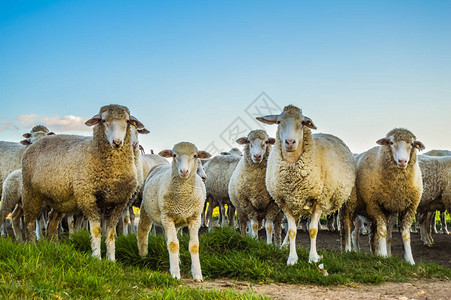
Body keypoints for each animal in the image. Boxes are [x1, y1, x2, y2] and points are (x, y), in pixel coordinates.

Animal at [22, 103, 144, 260]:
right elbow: (96, 230)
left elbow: (110, 233)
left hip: (60, 199)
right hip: (30, 192)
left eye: (127, 121)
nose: (117, 142)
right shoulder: (87, 197)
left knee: (52, 221)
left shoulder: (119, 202)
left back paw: (54, 246)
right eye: (103, 120)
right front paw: (97, 258)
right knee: (30, 221)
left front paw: (111, 260)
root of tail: (35, 144)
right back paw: (32, 245)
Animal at [258, 104, 356, 264]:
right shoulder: (284, 202)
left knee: (346, 223)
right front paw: (292, 258)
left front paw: (313, 257)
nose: (290, 142)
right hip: (296, 202)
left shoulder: (319, 200)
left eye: (303, 123)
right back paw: (284, 246)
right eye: (279, 122)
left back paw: (347, 249)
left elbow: (313, 230)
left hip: (347, 196)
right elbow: (292, 231)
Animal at [344, 127, 426, 264]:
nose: (402, 161)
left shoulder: (408, 207)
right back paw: (350, 251)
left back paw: (373, 252)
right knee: (351, 230)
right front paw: (383, 255)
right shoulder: (374, 205)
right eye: (391, 143)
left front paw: (409, 260)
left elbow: (403, 235)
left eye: (412, 144)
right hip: (352, 205)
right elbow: (382, 231)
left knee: (372, 235)